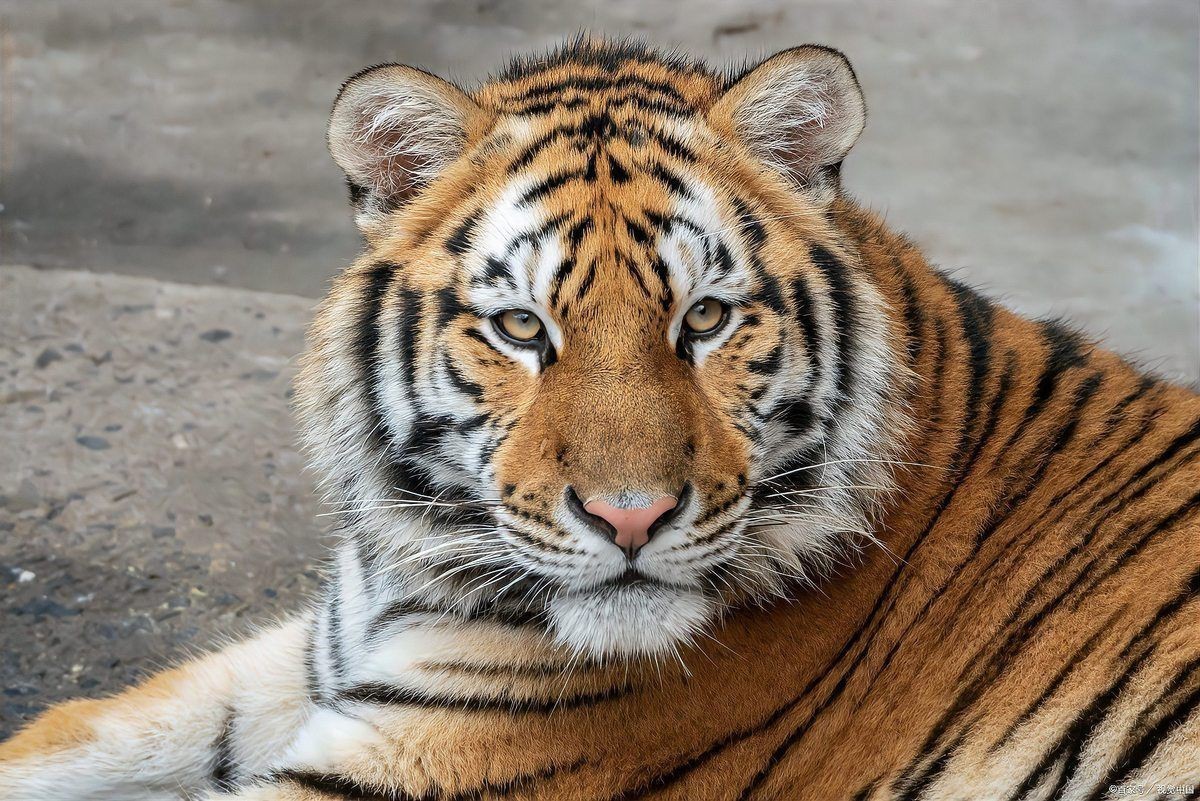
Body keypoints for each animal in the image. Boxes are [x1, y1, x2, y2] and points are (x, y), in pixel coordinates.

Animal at [1, 37, 1197, 801]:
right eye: (522, 328)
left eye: (704, 317)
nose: (631, 520)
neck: (417, 572)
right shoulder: (307, 661)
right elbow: (71, 727)